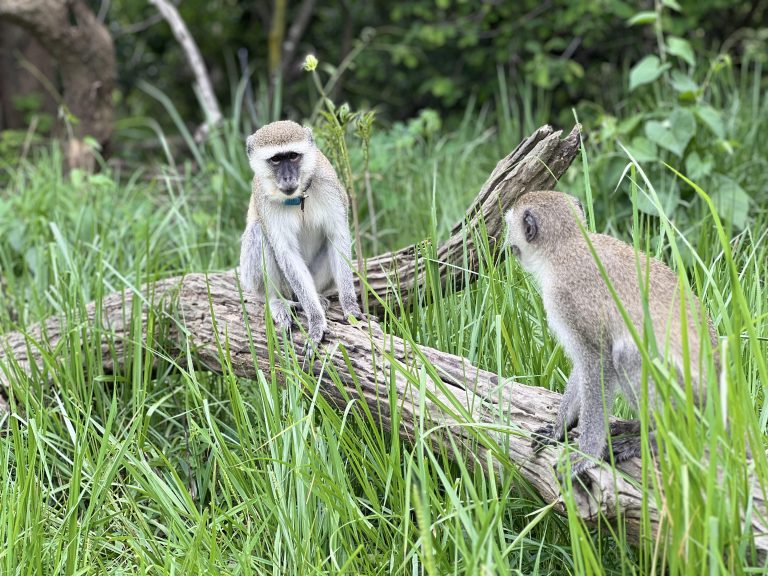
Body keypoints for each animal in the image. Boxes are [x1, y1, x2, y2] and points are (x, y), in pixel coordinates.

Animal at [238, 120, 368, 344]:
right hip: (269, 282)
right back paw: (277, 301)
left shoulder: (329, 186)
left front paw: (350, 307)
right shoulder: (264, 200)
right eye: (276, 159)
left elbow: (337, 239)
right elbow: (286, 252)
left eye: (292, 156)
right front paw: (316, 320)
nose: (288, 177)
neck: (298, 198)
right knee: (257, 232)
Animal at [508, 190, 716, 476]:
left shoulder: (566, 299)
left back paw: (657, 438)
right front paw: (559, 428)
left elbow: (599, 363)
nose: (507, 244)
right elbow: (583, 366)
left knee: (626, 356)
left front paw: (586, 453)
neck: (565, 247)